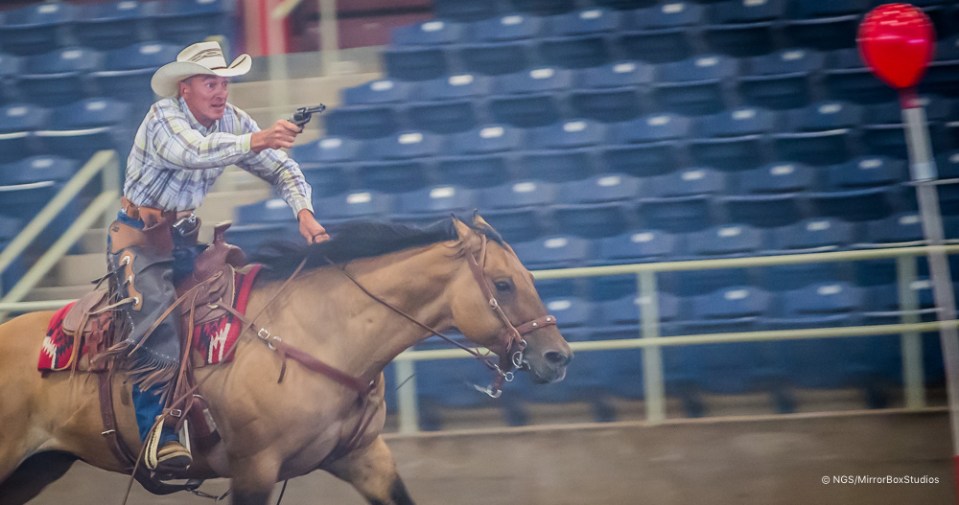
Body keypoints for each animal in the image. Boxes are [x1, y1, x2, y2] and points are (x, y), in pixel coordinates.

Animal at [0, 214, 572, 505]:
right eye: (503, 284)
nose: (558, 356)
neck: (322, 332)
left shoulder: (365, 458)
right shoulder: (254, 470)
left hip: (37, 468)